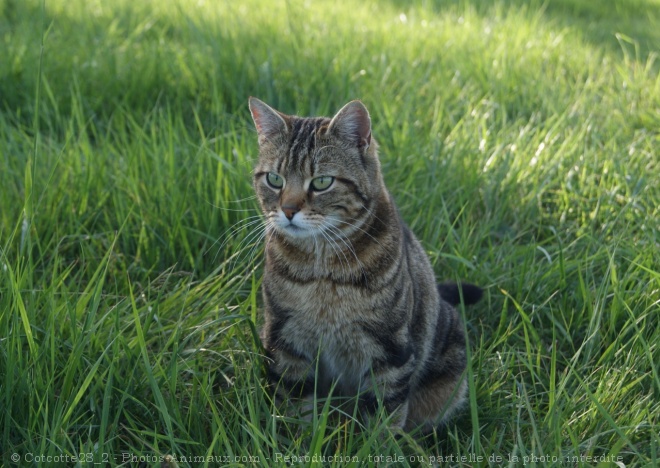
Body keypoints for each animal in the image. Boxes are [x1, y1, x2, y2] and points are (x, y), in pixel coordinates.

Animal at [250, 97, 482, 434]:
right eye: (274, 179)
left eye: (322, 182)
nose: (288, 210)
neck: (322, 271)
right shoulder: (286, 343)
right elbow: (295, 414)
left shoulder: (390, 352)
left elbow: (384, 422)